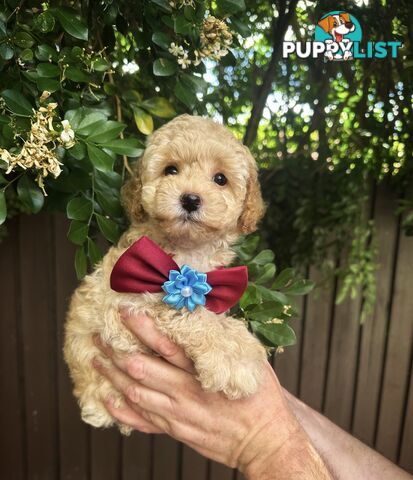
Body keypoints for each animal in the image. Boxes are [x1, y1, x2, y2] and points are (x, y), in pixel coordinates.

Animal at [64, 114, 268, 434]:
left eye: (220, 179)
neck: (186, 251)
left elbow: (214, 316)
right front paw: (235, 360)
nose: (191, 199)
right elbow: (192, 315)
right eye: (171, 170)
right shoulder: (125, 308)